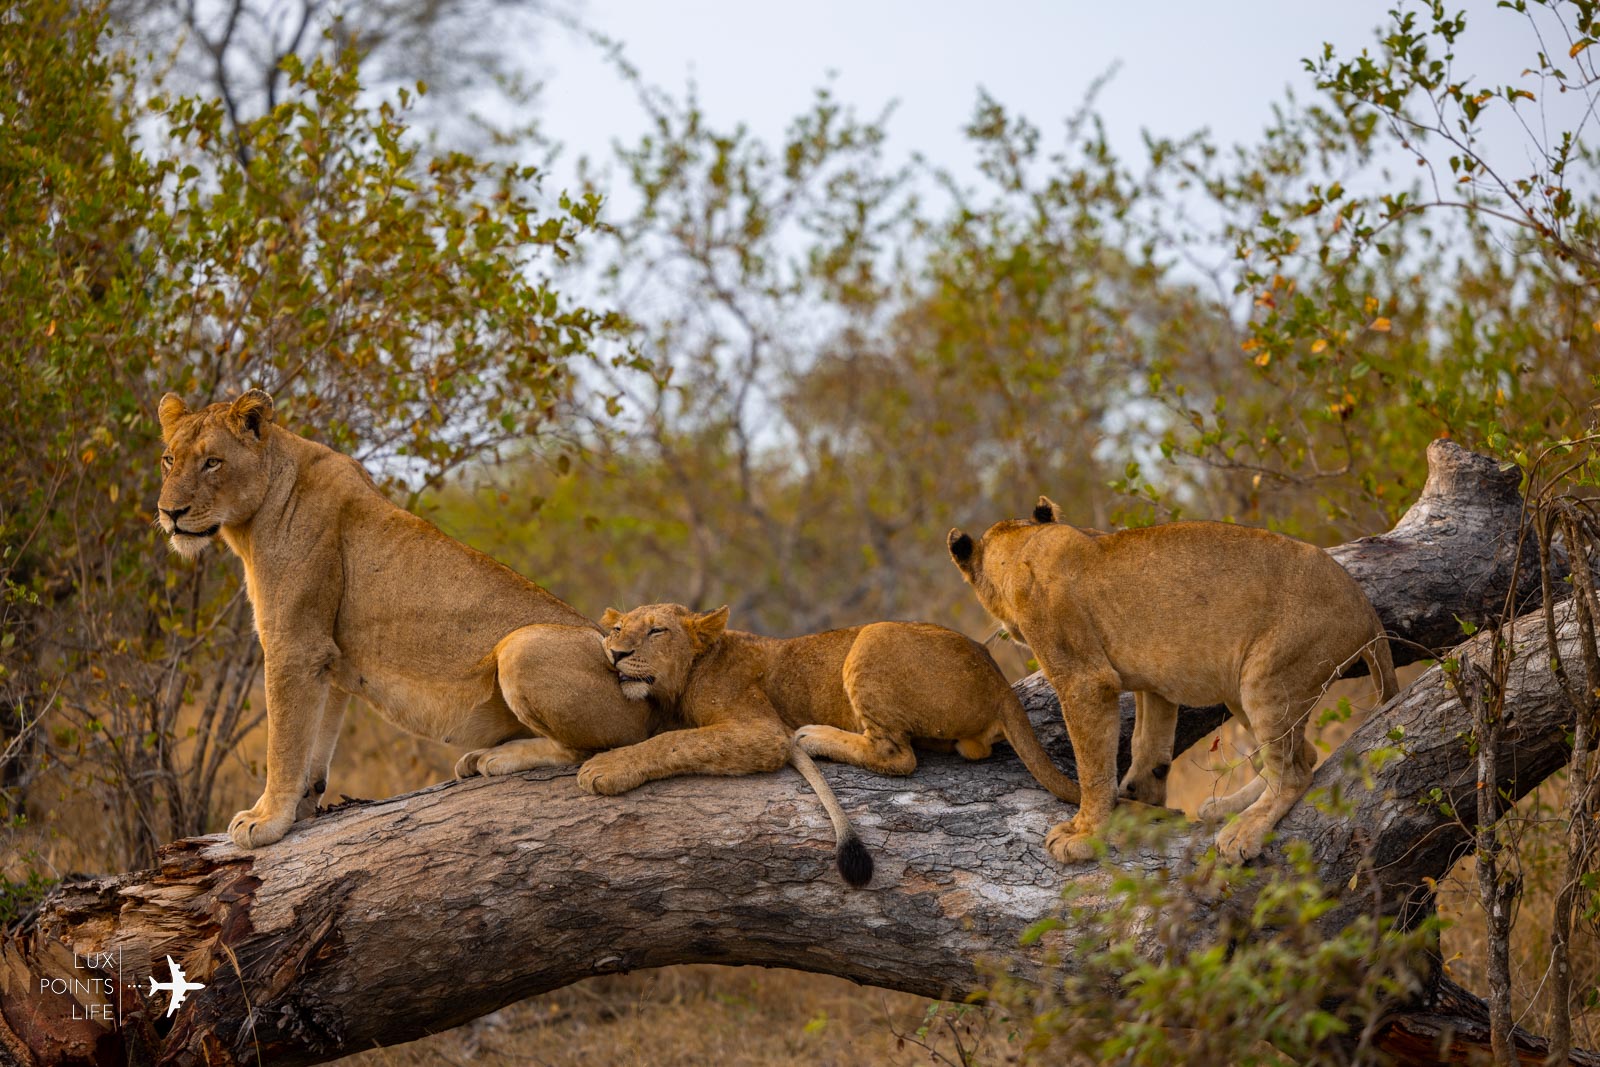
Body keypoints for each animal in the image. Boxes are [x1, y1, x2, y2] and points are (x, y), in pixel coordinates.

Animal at [159, 391, 659, 851]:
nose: (169, 513)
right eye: (168, 459)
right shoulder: (326, 655)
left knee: (589, 749)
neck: (251, 520)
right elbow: (315, 740)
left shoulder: (294, 646)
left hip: (523, 647)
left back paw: (495, 757)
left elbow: (284, 740)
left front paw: (265, 820)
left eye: (212, 462)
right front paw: (302, 804)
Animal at [582, 604, 1081, 883]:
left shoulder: (762, 732)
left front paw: (604, 768)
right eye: (619, 628)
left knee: (897, 756)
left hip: (872, 637)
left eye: (656, 631)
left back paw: (815, 736)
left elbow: (677, 741)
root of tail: (999, 681)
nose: (616, 653)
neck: (686, 676)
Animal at [940, 495, 1395, 863]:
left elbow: (1092, 765)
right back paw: (1225, 807)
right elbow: (1147, 741)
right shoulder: (1153, 682)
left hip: (1267, 677)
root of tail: (1363, 605)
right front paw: (1141, 792)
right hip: (1241, 686)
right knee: (1306, 755)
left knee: (1297, 772)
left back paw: (1242, 831)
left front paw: (1084, 833)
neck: (1023, 544)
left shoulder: (1084, 679)